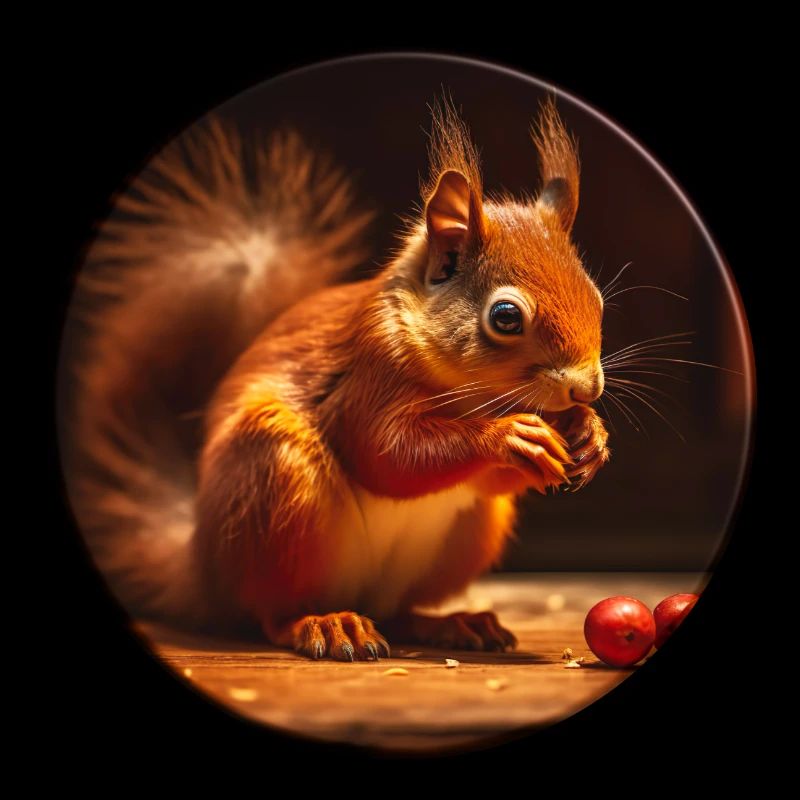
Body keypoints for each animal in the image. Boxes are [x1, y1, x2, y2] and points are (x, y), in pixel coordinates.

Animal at [60, 96, 610, 661]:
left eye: (596, 297)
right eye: (505, 317)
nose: (587, 388)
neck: (469, 394)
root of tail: (203, 568)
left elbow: (482, 477)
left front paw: (588, 433)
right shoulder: (365, 375)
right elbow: (386, 453)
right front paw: (509, 437)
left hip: (464, 536)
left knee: (399, 609)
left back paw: (452, 623)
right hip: (273, 482)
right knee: (269, 610)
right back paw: (324, 623)